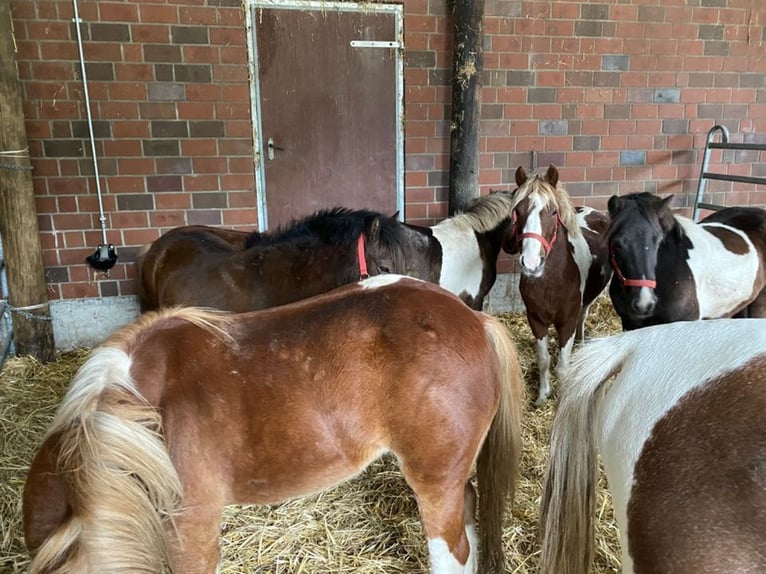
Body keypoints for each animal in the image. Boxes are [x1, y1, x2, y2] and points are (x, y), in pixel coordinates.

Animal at [508, 165, 616, 410]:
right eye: (518, 210)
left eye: (553, 212)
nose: (531, 263)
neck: (551, 283)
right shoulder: (535, 319)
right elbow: (544, 359)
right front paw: (542, 395)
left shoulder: (566, 322)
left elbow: (563, 368)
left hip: (587, 302)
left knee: (582, 317)